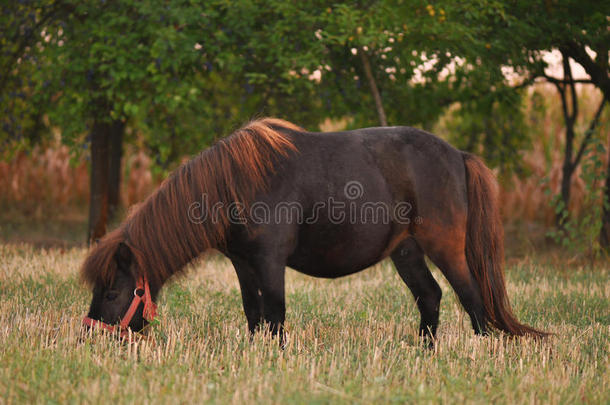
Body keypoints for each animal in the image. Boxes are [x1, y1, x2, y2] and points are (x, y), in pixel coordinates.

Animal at [79, 117, 540, 340]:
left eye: (113, 292)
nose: (89, 338)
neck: (236, 184)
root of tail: (458, 155)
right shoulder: (244, 264)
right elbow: (253, 314)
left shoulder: (270, 262)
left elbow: (276, 313)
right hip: (406, 251)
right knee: (430, 296)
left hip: (444, 247)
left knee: (472, 299)